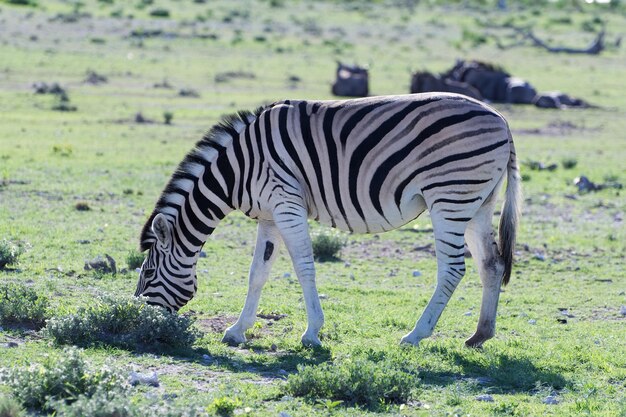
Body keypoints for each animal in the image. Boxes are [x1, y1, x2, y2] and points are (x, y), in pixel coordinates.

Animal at [134, 93, 520, 348]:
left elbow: (304, 267)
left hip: (449, 197)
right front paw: (236, 331)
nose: (139, 321)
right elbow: (257, 273)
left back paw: (415, 334)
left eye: (148, 273)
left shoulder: (286, 202)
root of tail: (500, 118)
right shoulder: (269, 217)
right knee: (492, 264)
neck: (239, 168)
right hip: (477, 203)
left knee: (453, 268)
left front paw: (312, 334)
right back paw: (480, 335)